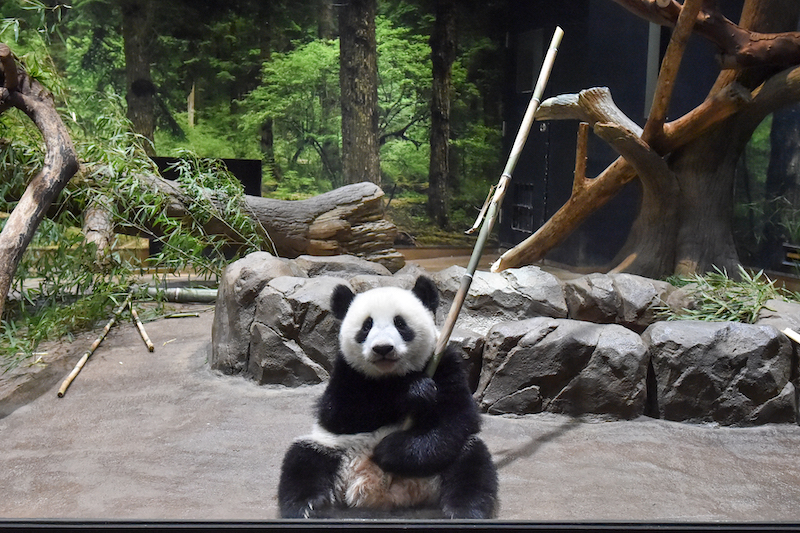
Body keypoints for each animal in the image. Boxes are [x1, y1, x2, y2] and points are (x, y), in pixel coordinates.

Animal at [278, 276, 496, 516]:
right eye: (366, 326)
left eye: (400, 323)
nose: (382, 348)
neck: (390, 374)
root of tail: (378, 492)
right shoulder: (346, 371)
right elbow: (338, 414)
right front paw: (413, 391)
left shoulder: (444, 362)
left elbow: (457, 417)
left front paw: (391, 451)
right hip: (335, 449)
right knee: (304, 461)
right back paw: (306, 507)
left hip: (444, 464)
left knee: (471, 464)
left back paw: (465, 510)